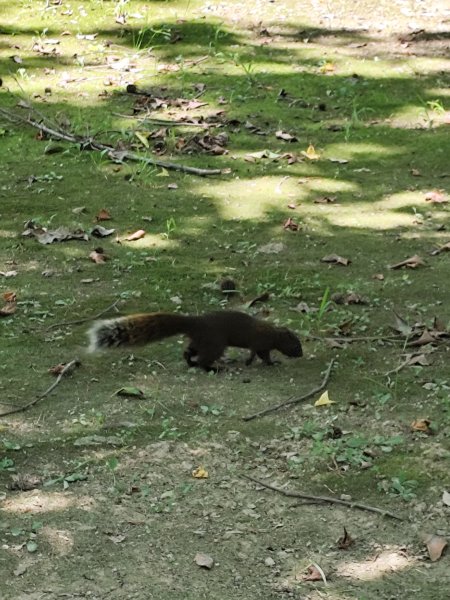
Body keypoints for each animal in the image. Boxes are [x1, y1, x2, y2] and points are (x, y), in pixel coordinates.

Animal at [88, 310, 302, 370]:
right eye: (297, 345)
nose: (301, 354)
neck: (273, 333)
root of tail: (196, 322)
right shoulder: (260, 343)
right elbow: (258, 354)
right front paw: (265, 362)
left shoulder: (261, 345)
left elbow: (259, 355)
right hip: (215, 343)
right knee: (204, 360)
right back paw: (214, 368)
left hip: (201, 341)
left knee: (189, 352)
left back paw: (190, 362)